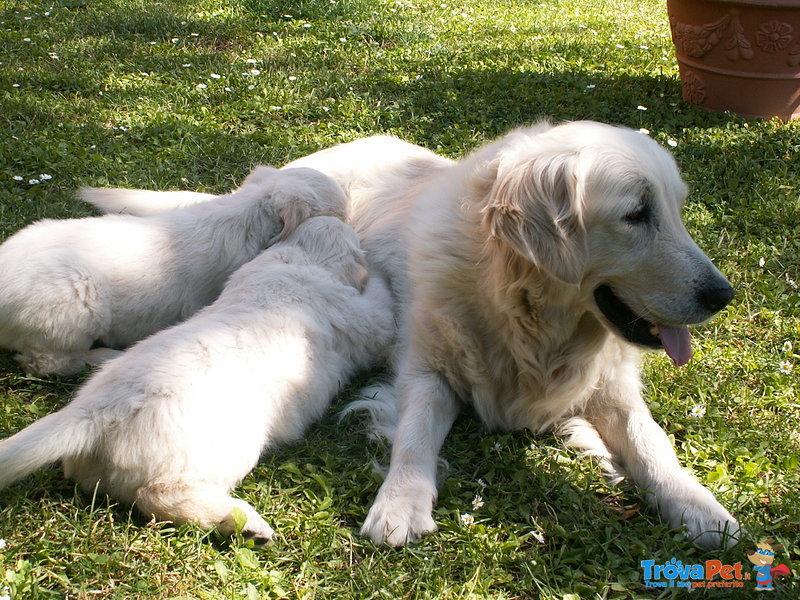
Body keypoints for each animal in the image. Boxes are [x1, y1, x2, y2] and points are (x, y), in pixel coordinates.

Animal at [0, 217, 396, 544]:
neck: (300, 258)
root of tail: (96, 409)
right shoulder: (363, 320)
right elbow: (380, 307)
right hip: (220, 450)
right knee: (158, 495)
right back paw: (243, 524)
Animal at [84, 120, 740, 548]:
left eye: (677, 209)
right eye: (636, 215)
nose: (721, 295)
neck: (527, 315)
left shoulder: (613, 387)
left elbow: (652, 443)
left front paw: (699, 507)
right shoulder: (425, 364)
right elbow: (416, 434)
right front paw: (400, 504)